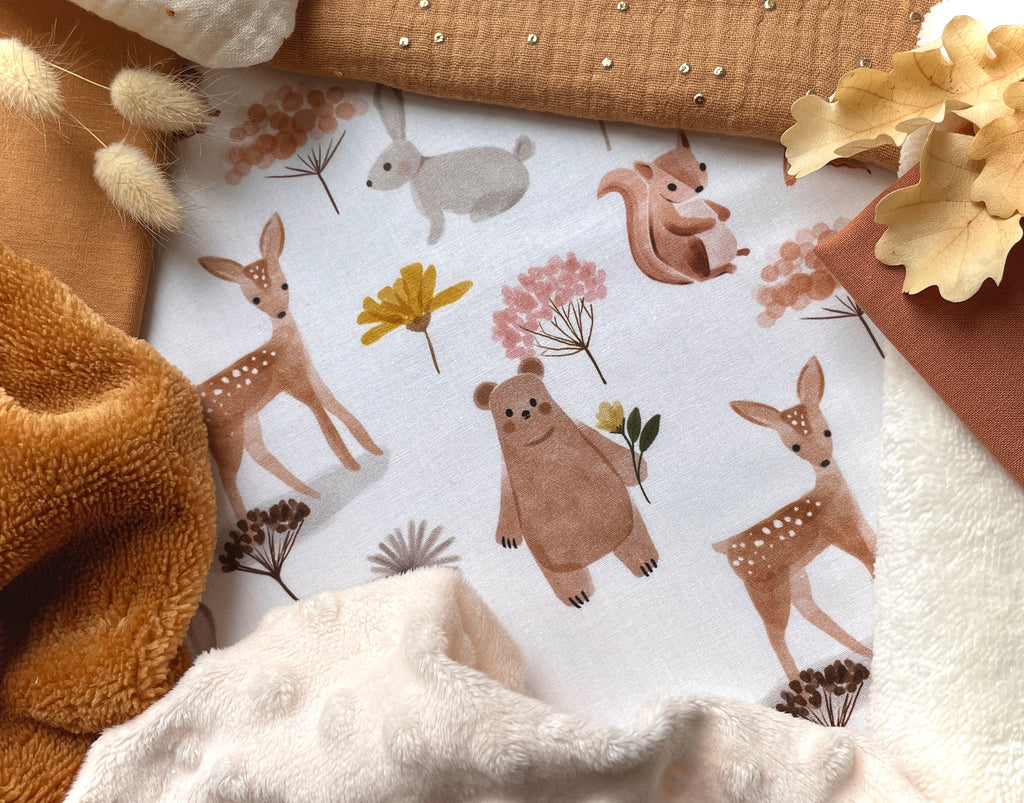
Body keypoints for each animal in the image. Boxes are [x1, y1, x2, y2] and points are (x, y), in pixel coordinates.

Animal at [195, 212, 382, 521]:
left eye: (284, 285)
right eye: (255, 299)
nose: (280, 312)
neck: (286, 347)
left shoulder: (310, 371)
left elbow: (333, 404)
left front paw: (373, 449)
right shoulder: (293, 382)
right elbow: (322, 416)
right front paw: (351, 464)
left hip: (249, 421)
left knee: (259, 454)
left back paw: (311, 494)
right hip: (228, 435)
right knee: (229, 477)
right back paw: (249, 520)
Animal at [366, 85, 535, 245]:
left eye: (387, 166)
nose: (369, 183)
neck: (418, 168)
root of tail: (519, 160)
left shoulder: (432, 205)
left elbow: (438, 223)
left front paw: (431, 241)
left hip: (503, 193)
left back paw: (478, 215)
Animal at [474, 358, 660, 607]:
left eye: (533, 400)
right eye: (508, 412)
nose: (525, 412)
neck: (544, 446)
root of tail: (596, 554)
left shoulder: (583, 430)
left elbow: (610, 451)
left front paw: (638, 468)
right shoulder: (508, 477)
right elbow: (508, 504)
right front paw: (507, 536)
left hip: (628, 520)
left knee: (634, 538)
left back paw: (645, 561)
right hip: (548, 558)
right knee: (564, 577)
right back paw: (577, 594)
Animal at [712, 356, 876, 680]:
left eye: (827, 431)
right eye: (795, 446)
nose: (823, 461)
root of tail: (723, 547)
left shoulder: (862, 524)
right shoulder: (842, 534)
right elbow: (869, 561)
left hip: (795, 573)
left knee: (809, 611)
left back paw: (863, 654)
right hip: (766, 588)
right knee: (775, 634)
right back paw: (796, 685)